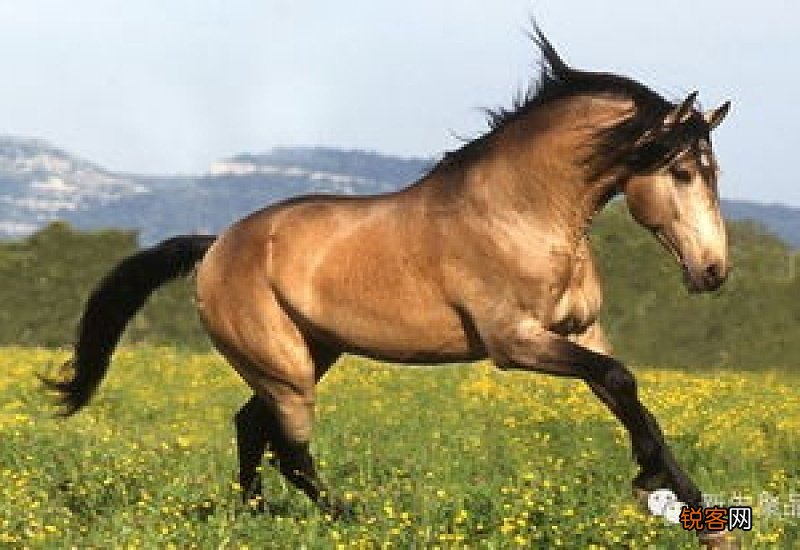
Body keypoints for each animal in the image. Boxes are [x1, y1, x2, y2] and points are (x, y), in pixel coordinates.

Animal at [45, 26, 734, 548]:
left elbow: (623, 389)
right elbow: (620, 381)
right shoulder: (514, 343)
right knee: (289, 448)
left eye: (713, 171)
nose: (713, 272)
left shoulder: (582, 331)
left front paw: (695, 509)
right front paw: (655, 486)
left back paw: (256, 518)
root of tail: (215, 245)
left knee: (251, 427)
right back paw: (353, 518)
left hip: (310, 354)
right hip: (285, 368)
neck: (522, 214)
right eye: (680, 171)